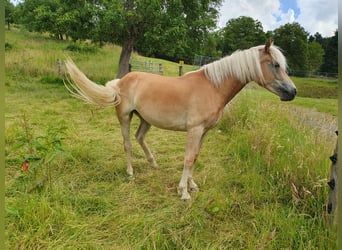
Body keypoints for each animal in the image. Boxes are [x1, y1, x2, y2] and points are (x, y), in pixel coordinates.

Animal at [65, 41, 296, 201]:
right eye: (275, 65)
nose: (292, 92)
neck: (213, 87)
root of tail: (121, 81)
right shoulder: (194, 130)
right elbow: (188, 159)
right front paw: (184, 192)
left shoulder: (204, 132)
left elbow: (195, 157)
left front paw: (192, 185)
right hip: (125, 117)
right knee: (128, 143)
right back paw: (130, 172)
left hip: (145, 119)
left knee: (140, 137)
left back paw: (153, 163)